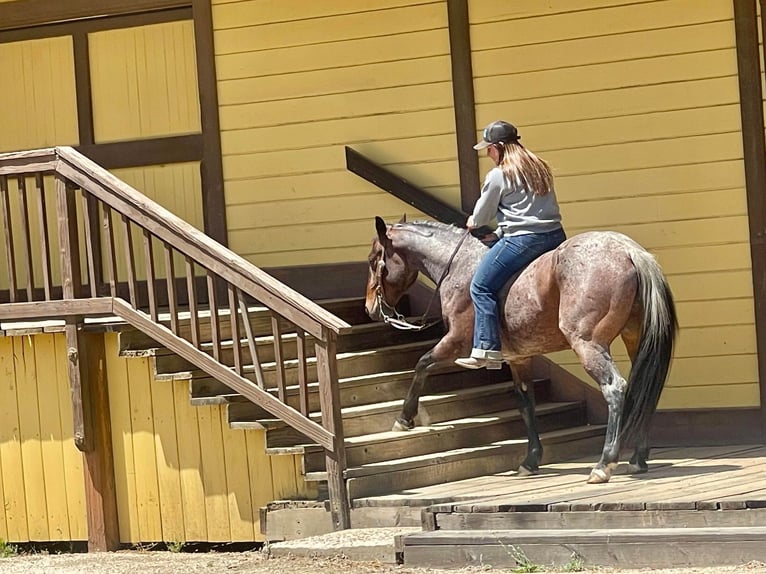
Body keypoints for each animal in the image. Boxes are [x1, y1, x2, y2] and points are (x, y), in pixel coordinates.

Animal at [366, 217, 680, 486]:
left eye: (373, 260)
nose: (370, 308)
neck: (460, 265)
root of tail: (629, 251)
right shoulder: (519, 359)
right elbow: (526, 404)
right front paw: (530, 460)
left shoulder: (454, 342)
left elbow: (422, 364)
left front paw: (404, 418)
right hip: (635, 339)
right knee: (644, 387)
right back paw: (638, 457)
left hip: (588, 343)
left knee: (615, 389)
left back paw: (604, 464)